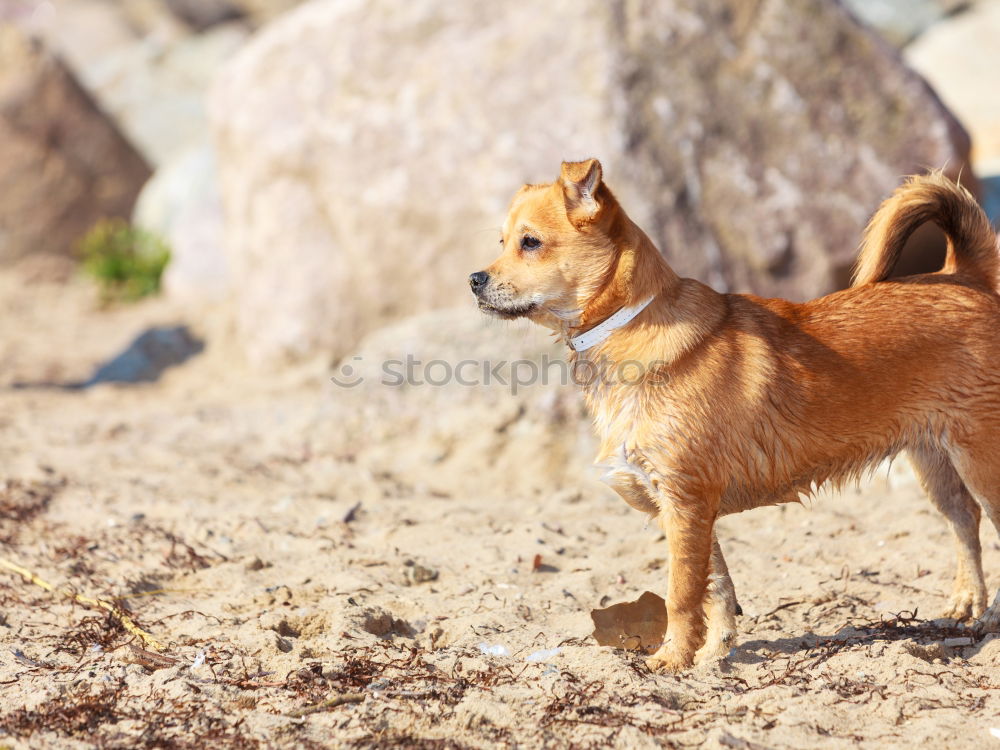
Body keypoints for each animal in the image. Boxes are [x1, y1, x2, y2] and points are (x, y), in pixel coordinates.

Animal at [468, 160, 1000, 676]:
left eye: (531, 242)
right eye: (502, 242)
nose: (474, 280)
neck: (629, 324)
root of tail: (964, 277)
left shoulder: (685, 504)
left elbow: (682, 595)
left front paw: (672, 659)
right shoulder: (691, 508)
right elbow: (717, 589)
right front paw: (712, 655)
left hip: (980, 460)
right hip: (933, 460)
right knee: (964, 520)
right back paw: (967, 603)